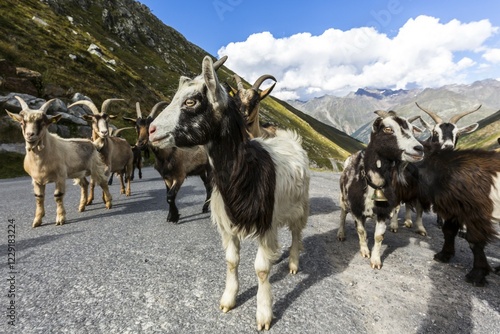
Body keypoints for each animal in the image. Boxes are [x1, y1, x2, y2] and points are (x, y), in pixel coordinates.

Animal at [6, 96, 112, 227]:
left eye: (43, 123)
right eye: (22, 123)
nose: (30, 135)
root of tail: (92, 143)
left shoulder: (60, 176)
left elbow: (58, 196)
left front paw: (60, 219)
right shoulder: (36, 180)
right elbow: (39, 197)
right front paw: (37, 221)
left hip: (95, 167)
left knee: (103, 182)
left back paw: (109, 203)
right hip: (78, 172)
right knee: (85, 184)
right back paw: (81, 206)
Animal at [147, 56, 308, 330]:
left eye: (191, 101)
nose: (151, 131)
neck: (246, 172)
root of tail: (290, 137)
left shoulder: (266, 223)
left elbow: (261, 269)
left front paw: (264, 314)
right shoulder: (228, 224)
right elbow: (232, 261)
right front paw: (228, 300)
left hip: (301, 205)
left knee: (297, 233)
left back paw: (294, 264)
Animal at [338, 111, 424, 270]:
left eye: (412, 130)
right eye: (388, 129)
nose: (419, 149)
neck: (374, 183)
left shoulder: (383, 212)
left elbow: (379, 236)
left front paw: (376, 260)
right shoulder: (357, 209)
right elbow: (361, 230)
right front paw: (365, 251)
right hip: (343, 199)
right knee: (342, 215)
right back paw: (341, 234)